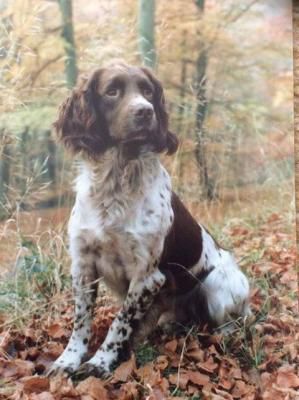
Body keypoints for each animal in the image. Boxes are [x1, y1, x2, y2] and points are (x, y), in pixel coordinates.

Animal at [48, 61, 251, 378]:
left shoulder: (147, 275)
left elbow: (119, 323)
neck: (116, 184)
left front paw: (100, 362)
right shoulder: (83, 265)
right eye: (112, 91)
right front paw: (68, 360)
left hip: (219, 286)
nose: (145, 111)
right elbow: (81, 321)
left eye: (147, 91)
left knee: (233, 321)